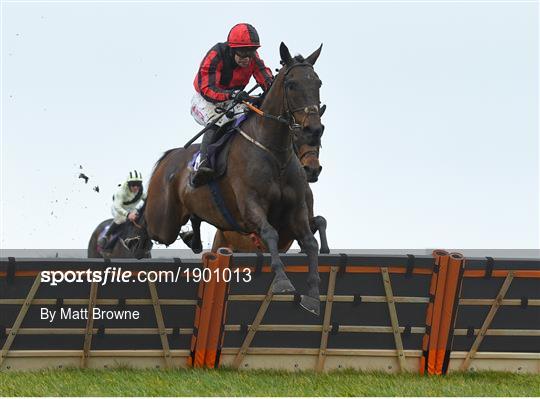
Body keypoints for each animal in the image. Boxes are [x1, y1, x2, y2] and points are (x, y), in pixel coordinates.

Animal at [144, 43, 324, 318]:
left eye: (318, 82)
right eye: (292, 84)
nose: (313, 129)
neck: (274, 151)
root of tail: (170, 156)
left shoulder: (296, 211)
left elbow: (311, 243)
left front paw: (313, 295)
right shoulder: (251, 206)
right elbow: (269, 233)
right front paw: (282, 281)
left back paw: (191, 238)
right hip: (163, 222)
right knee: (145, 225)